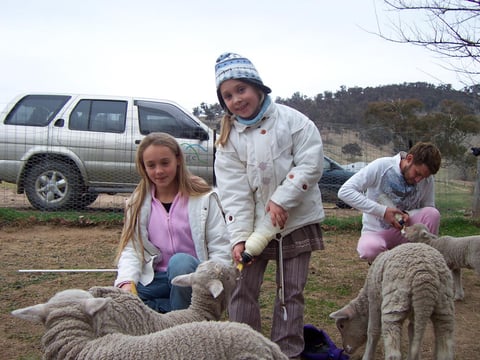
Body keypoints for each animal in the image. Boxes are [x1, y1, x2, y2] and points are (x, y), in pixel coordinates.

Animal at [328, 242, 456, 360]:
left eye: (342, 326)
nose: (346, 349)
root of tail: (425, 276)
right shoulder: (415, 314)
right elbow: (412, 331)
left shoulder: (374, 299)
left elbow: (373, 331)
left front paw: (367, 357)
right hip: (444, 305)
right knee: (445, 349)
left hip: (394, 305)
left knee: (393, 353)